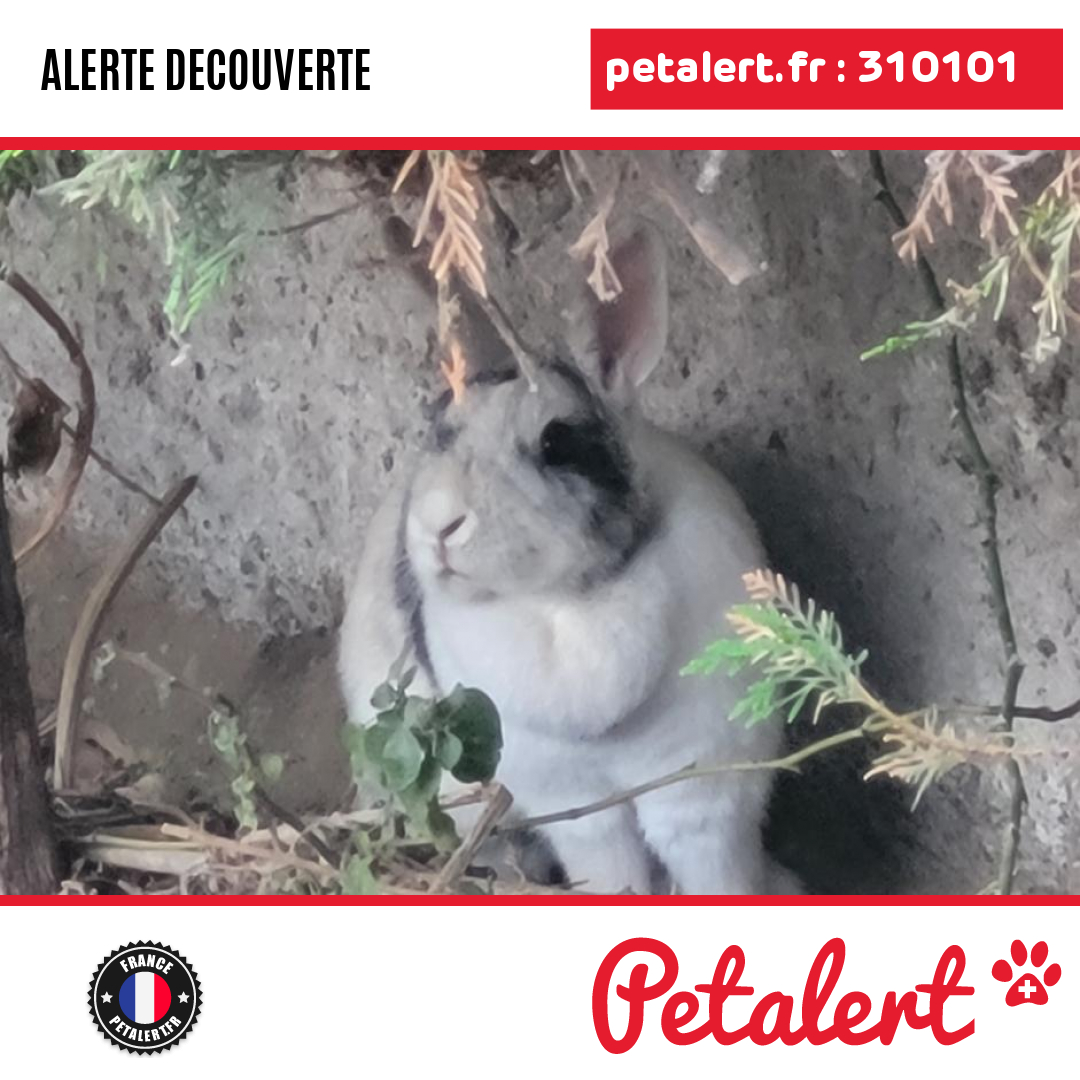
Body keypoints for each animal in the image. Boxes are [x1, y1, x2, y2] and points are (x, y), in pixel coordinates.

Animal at [339, 221, 797, 895]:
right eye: (438, 429)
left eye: (557, 443)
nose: (439, 525)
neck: (571, 603)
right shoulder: (578, 808)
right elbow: (613, 876)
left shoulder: (702, 792)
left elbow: (719, 878)